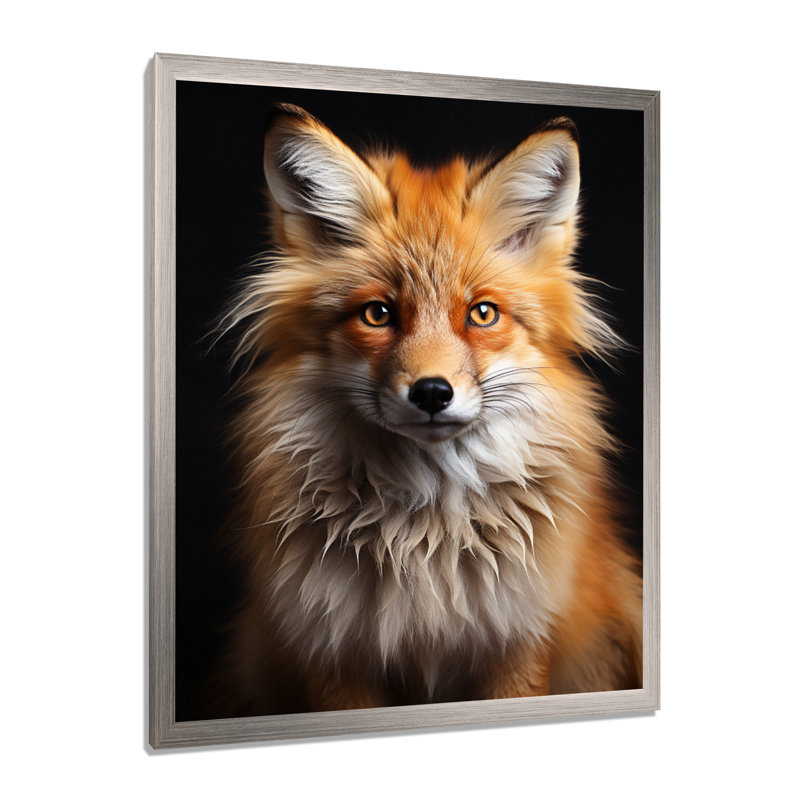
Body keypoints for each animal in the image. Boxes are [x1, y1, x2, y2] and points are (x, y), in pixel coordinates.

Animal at [212, 103, 642, 715]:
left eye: (482, 313)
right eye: (377, 314)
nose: (433, 393)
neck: (426, 538)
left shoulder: (518, 640)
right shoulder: (331, 649)